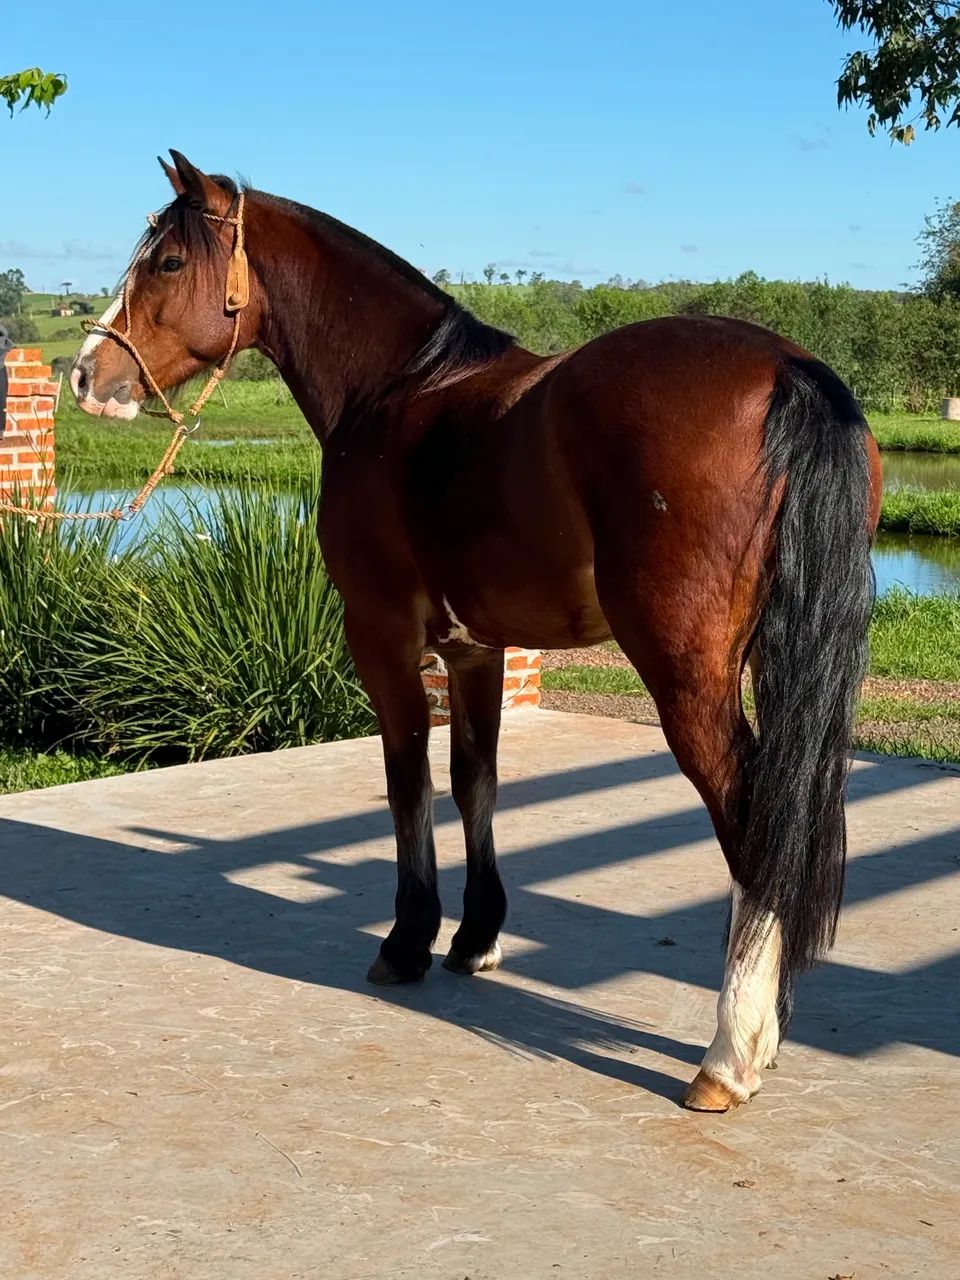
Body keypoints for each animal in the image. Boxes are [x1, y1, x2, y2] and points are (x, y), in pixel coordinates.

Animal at [72, 151, 882, 1113]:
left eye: (165, 262)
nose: (85, 375)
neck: (402, 388)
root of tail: (788, 370)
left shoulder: (381, 633)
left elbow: (407, 781)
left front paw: (407, 940)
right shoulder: (474, 648)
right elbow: (475, 783)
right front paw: (474, 937)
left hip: (686, 675)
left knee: (750, 817)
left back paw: (728, 1057)